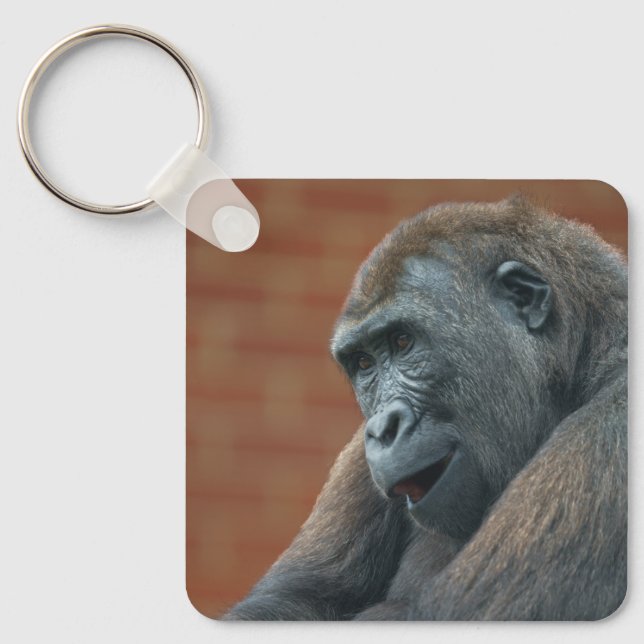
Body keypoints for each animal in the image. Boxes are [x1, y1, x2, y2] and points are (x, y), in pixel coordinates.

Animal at [223, 196, 627, 621]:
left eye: (403, 342)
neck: (584, 354)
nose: (381, 429)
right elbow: (290, 601)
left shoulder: (608, 431)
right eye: (363, 363)